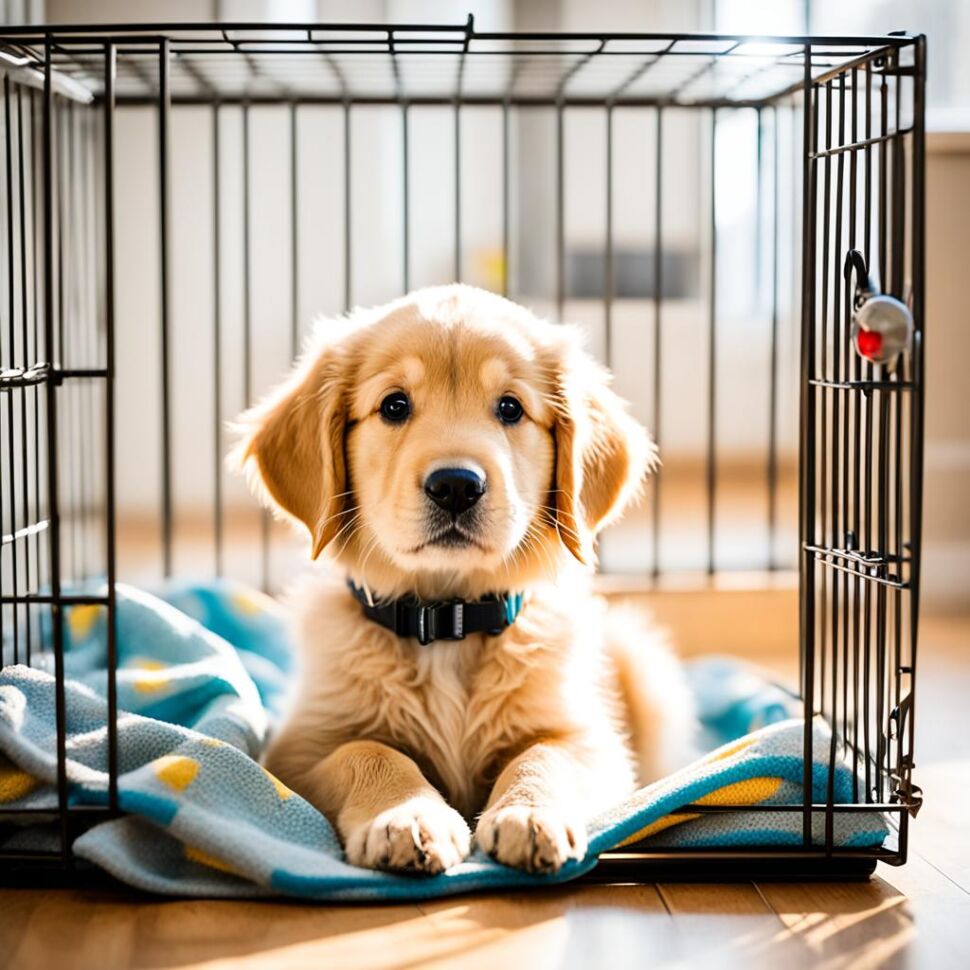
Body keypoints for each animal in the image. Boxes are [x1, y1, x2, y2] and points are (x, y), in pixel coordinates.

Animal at [237, 284, 692, 872]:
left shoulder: (592, 741)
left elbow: (545, 754)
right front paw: (405, 817)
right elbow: (367, 751)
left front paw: (529, 814)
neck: (446, 619)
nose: (456, 484)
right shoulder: (299, 748)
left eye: (510, 408)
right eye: (394, 406)